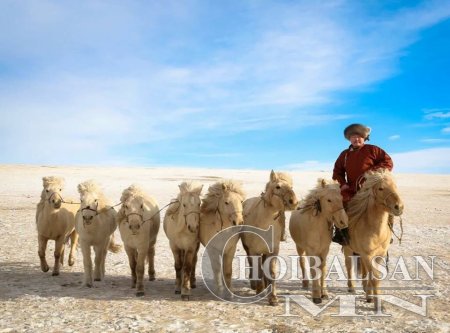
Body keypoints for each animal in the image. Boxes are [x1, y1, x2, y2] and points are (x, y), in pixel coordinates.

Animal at [243, 170, 298, 304]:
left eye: (291, 187)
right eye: (278, 187)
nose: (294, 202)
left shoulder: (273, 251)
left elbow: (271, 272)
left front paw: (273, 297)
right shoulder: (254, 251)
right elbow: (257, 269)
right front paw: (259, 291)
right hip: (248, 249)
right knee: (252, 264)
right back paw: (255, 285)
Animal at [342, 169, 404, 308]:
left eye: (395, 186)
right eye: (381, 188)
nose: (399, 207)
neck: (375, 231)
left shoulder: (379, 255)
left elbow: (373, 275)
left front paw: (369, 296)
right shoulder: (367, 255)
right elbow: (374, 277)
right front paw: (377, 304)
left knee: (364, 269)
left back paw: (366, 288)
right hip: (348, 249)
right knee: (349, 266)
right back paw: (351, 287)